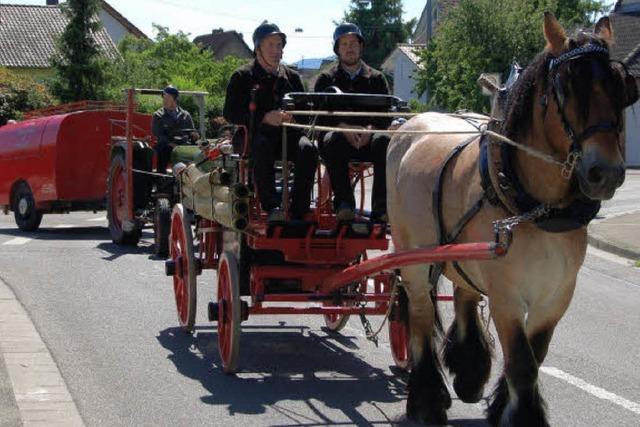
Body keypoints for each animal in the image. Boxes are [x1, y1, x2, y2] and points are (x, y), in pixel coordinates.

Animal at [388, 11, 636, 426]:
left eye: (621, 88)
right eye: (566, 87)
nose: (607, 172)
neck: (535, 208)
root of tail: (408, 124)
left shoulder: (556, 295)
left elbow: (535, 356)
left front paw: (502, 404)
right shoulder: (506, 297)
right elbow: (522, 363)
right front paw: (521, 415)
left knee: (465, 294)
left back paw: (469, 374)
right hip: (414, 259)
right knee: (420, 315)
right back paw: (426, 400)